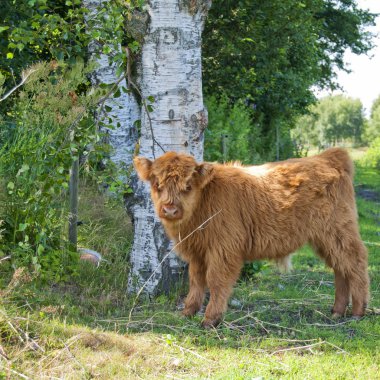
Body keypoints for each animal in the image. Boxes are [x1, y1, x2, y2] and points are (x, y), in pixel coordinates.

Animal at [134, 148, 368, 326]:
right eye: (157, 185)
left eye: (188, 186)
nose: (170, 209)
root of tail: (327, 157)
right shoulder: (198, 252)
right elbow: (196, 280)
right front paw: (188, 312)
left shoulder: (224, 249)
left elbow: (216, 281)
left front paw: (211, 319)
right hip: (325, 239)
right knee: (340, 268)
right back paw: (337, 311)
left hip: (338, 231)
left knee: (355, 263)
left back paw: (358, 311)